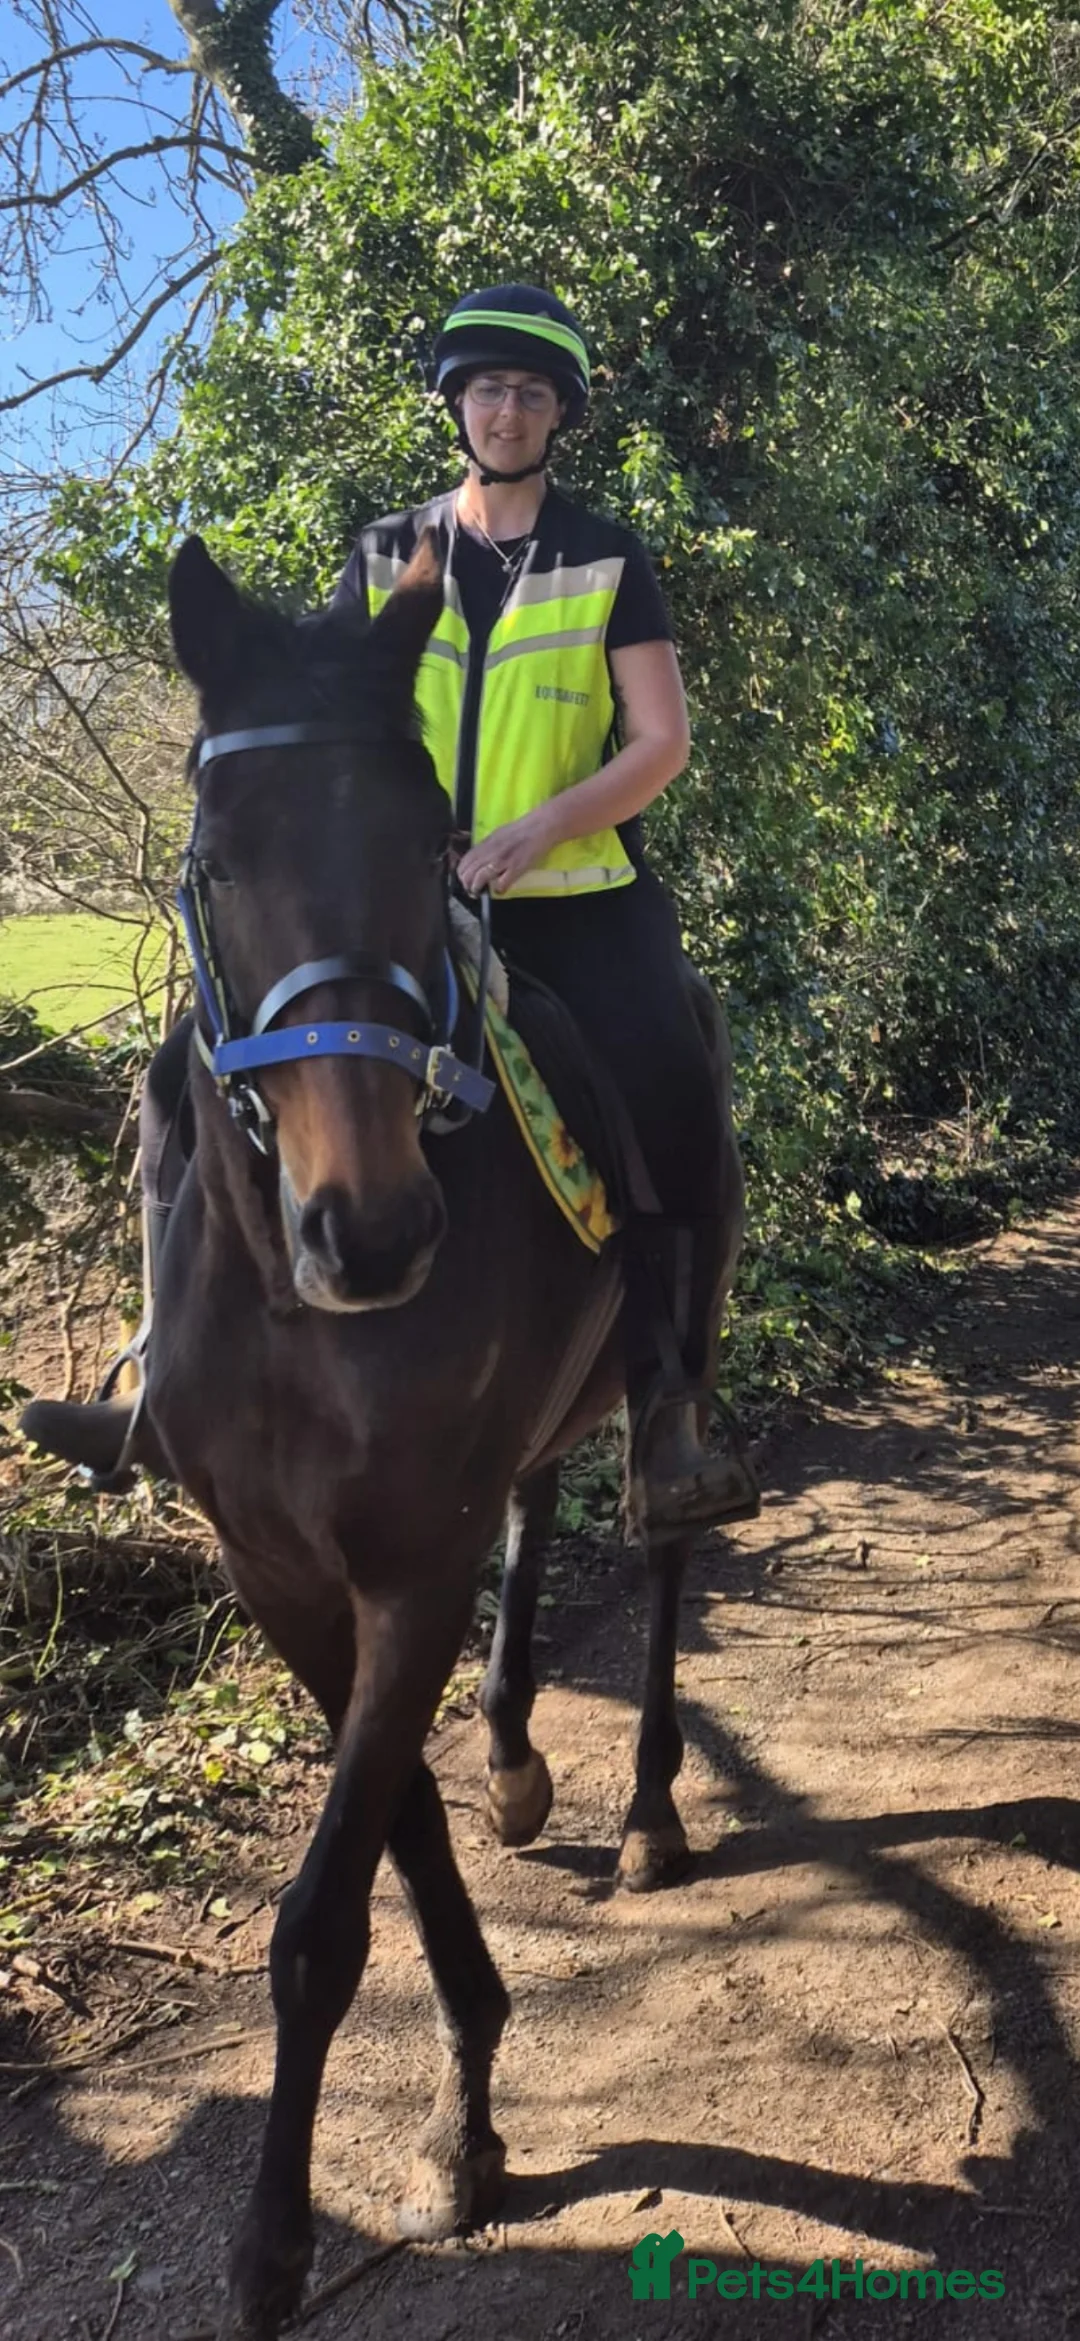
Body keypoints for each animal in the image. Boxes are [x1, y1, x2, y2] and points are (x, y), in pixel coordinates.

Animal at [23, 531, 749, 2341]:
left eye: (430, 844)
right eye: (217, 859)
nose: (370, 1229)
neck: (298, 1312)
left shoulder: (405, 1566)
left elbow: (324, 1912)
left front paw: (288, 2233)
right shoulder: (290, 1576)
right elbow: (396, 1829)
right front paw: (464, 2098)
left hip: (679, 1349)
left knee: (661, 1540)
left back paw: (647, 1811)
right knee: (541, 1515)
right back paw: (514, 1754)